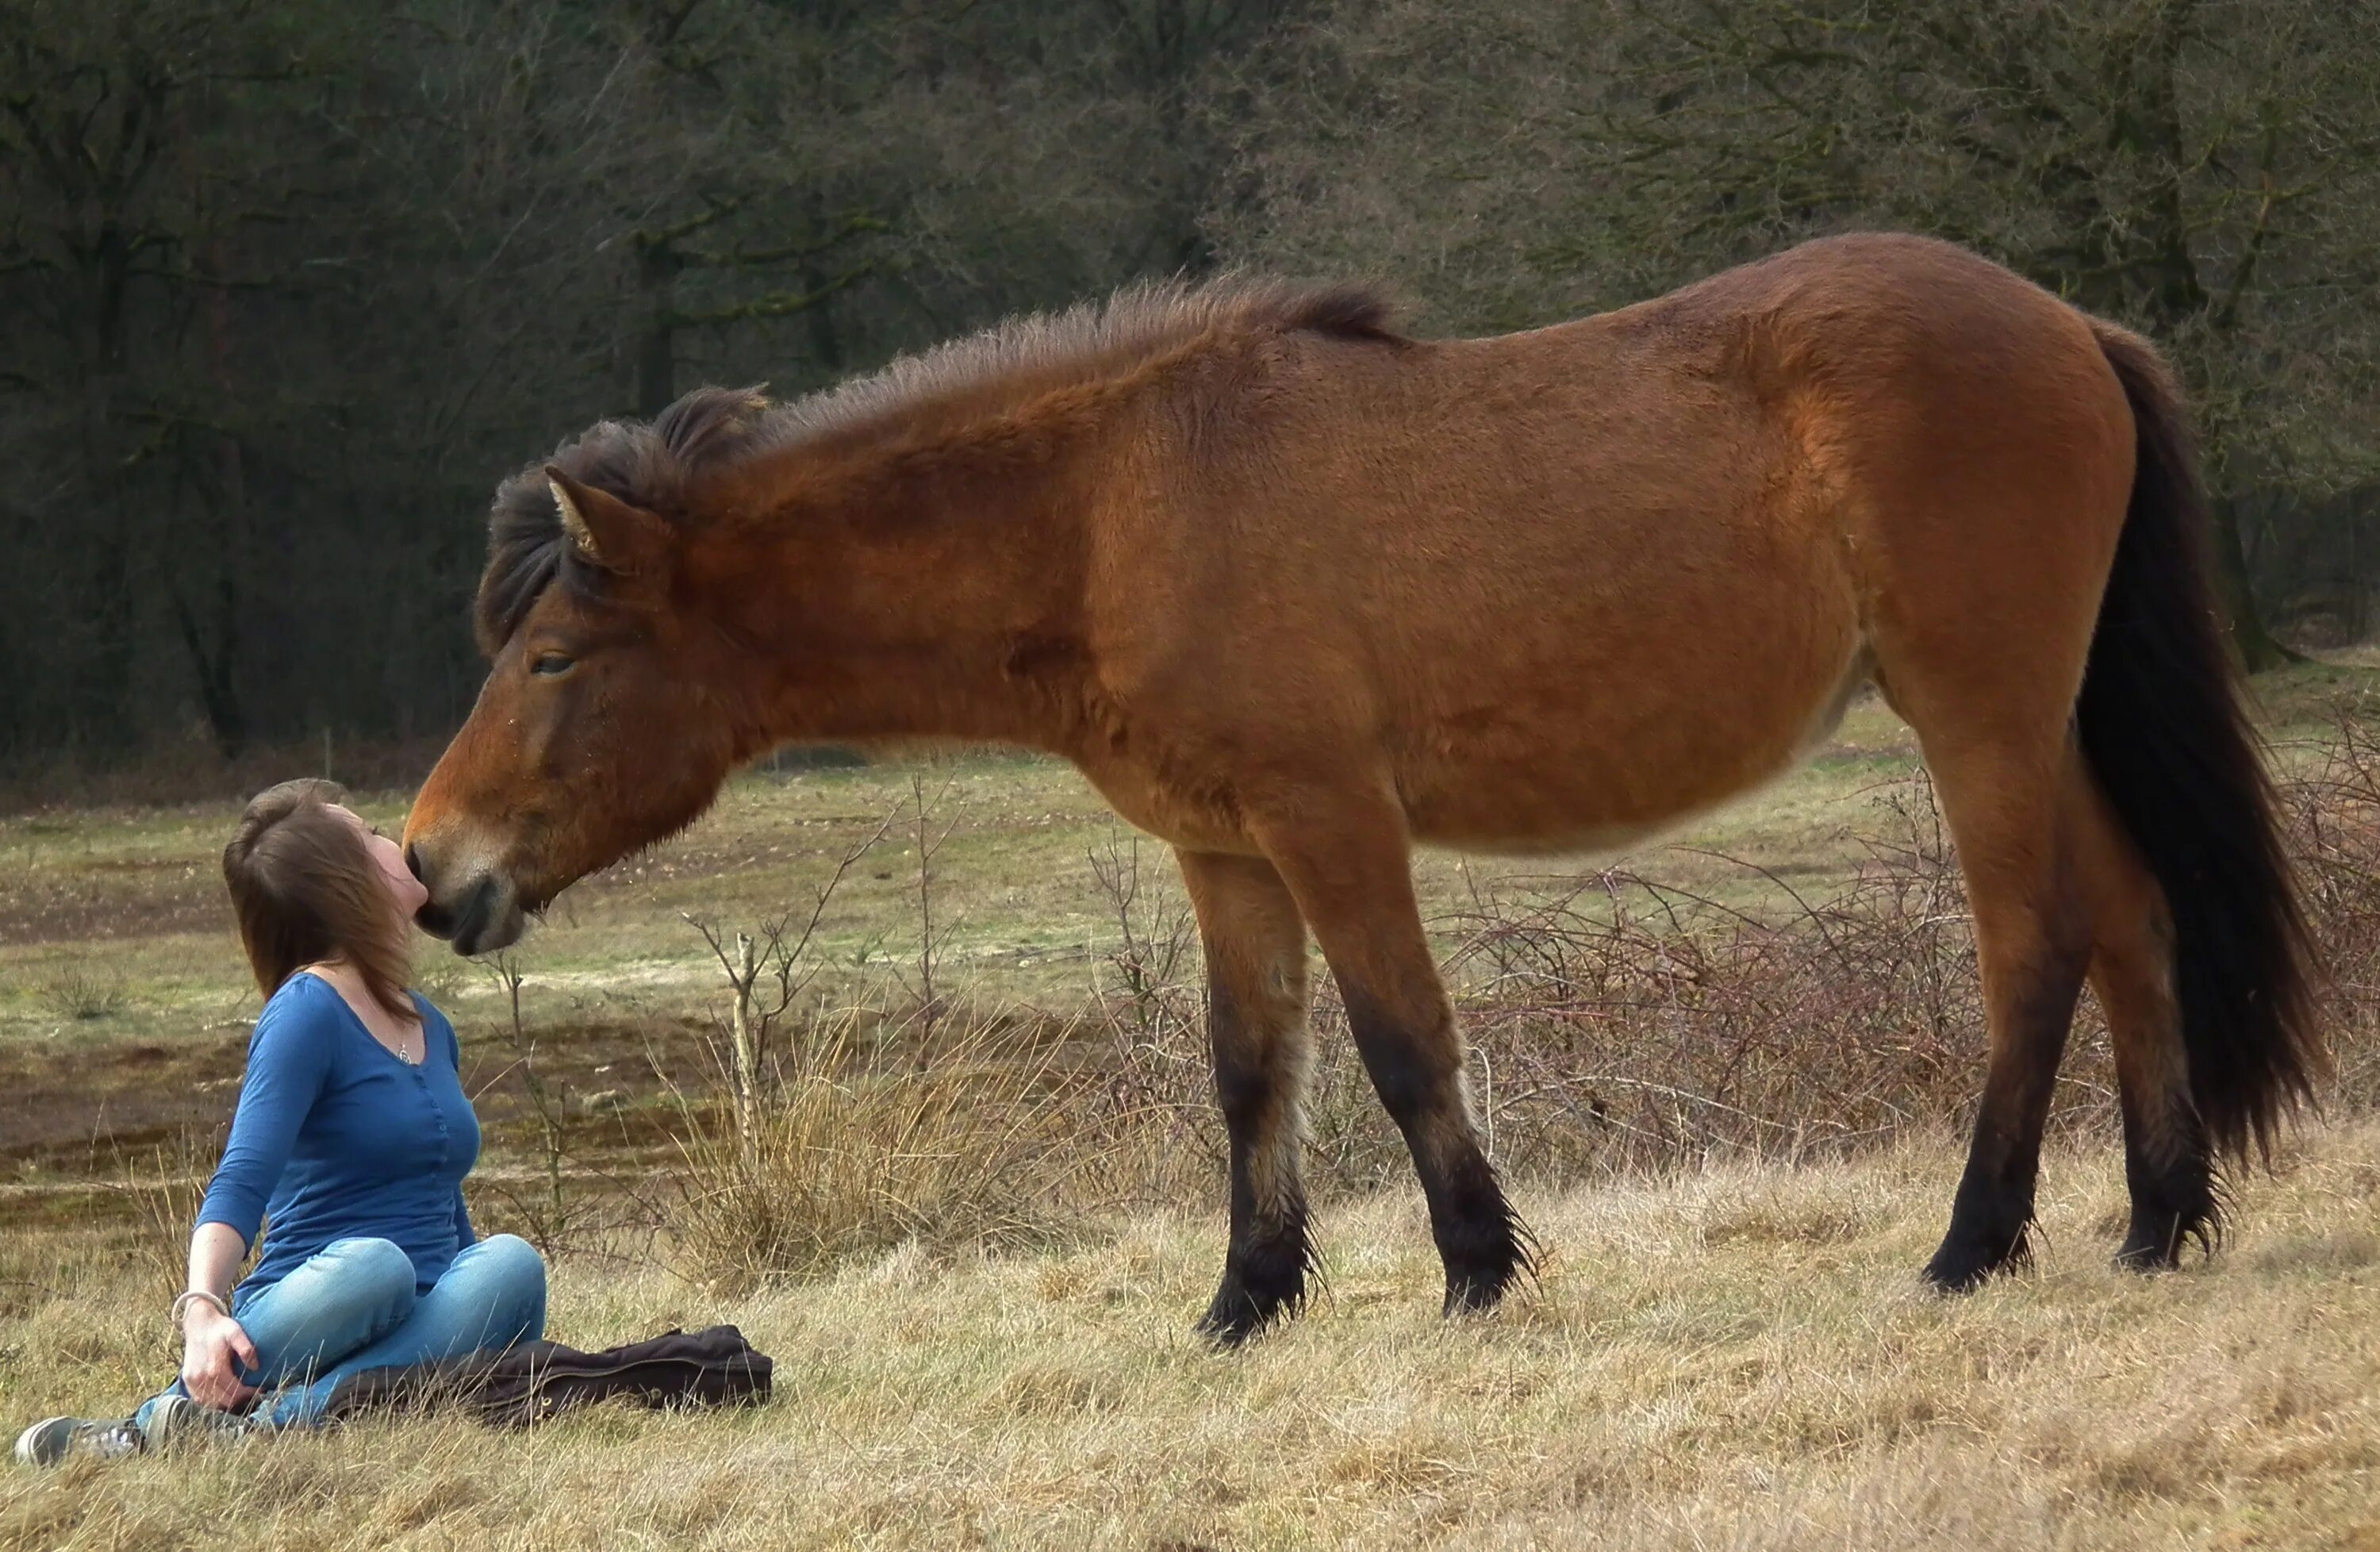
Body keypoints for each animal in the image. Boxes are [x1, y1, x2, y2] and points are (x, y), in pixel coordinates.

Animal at [405, 236, 2304, 1343]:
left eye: (551, 657)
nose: (429, 865)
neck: (1105, 512)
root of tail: (2065, 324)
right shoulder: (1226, 851)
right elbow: (1252, 1070)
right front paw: (1247, 1298)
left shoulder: (1331, 823)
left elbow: (1399, 1044)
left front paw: (1474, 1268)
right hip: (2038, 721)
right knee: (2133, 922)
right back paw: (2158, 1219)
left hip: (1979, 716)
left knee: (2033, 947)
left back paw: (1977, 1244)